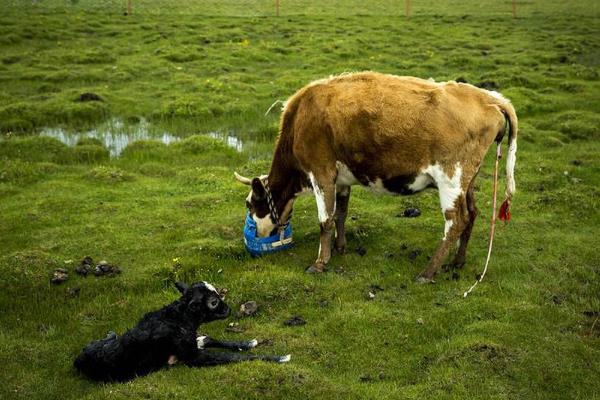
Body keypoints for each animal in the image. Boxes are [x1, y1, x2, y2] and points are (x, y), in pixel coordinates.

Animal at [74, 282, 290, 382]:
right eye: (213, 302)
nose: (228, 309)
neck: (178, 318)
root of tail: (79, 357)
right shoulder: (193, 356)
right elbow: (232, 357)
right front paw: (279, 358)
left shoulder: (193, 342)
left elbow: (212, 338)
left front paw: (248, 343)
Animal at [234, 72, 516, 284]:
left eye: (250, 204)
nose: (254, 235)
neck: (302, 116)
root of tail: (490, 98)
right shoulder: (341, 179)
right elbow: (340, 214)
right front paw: (340, 247)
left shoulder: (321, 173)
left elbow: (325, 220)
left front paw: (320, 262)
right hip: (468, 180)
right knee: (472, 214)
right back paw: (457, 261)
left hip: (451, 179)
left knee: (455, 222)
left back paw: (427, 272)